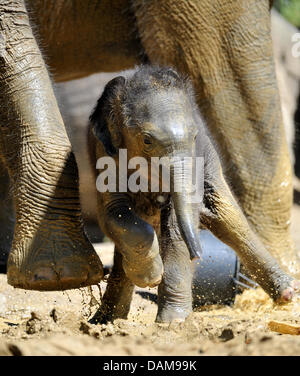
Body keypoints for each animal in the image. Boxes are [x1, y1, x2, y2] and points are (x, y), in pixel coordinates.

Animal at [88, 64, 298, 324]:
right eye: (146, 140)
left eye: (195, 137)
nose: (198, 255)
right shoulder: (103, 152)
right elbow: (113, 212)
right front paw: (150, 276)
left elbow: (176, 225)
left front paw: (172, 323)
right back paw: (105, 321)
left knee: (227, 217)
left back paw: (288, 293)